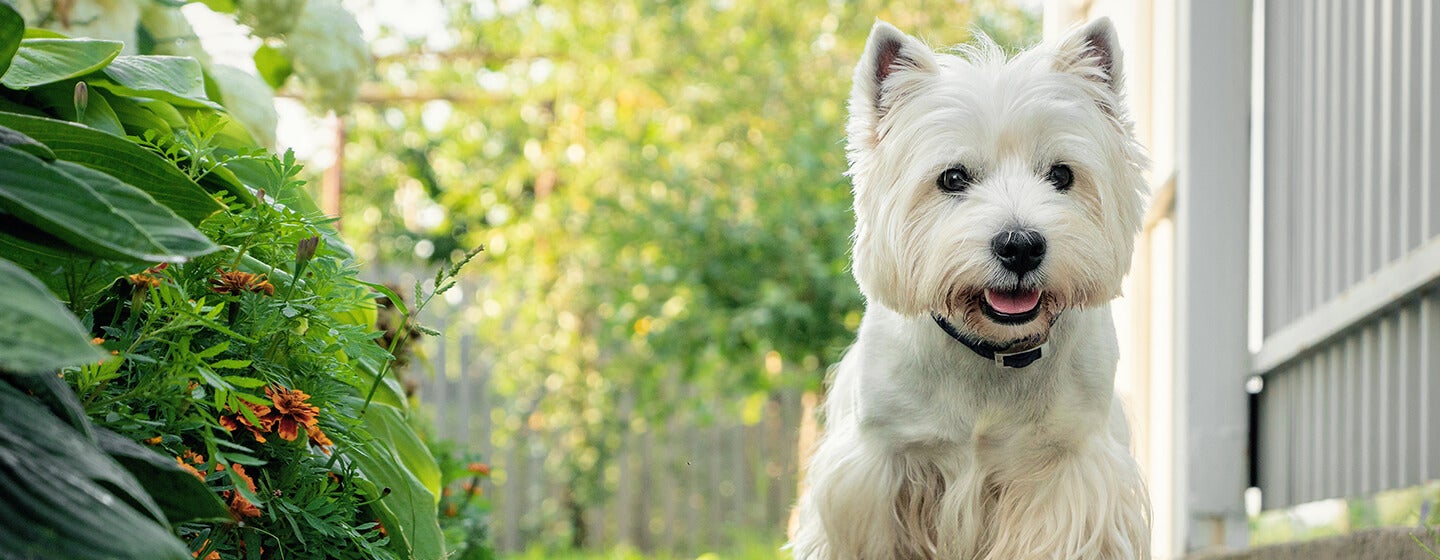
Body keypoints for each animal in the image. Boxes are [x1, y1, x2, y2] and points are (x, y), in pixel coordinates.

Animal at [789, 18, 1146, 558]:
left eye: (1062, 174)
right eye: (953, 177)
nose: (1020, 246)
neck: (991, 354)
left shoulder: (1069, 467)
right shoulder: (874, 467)